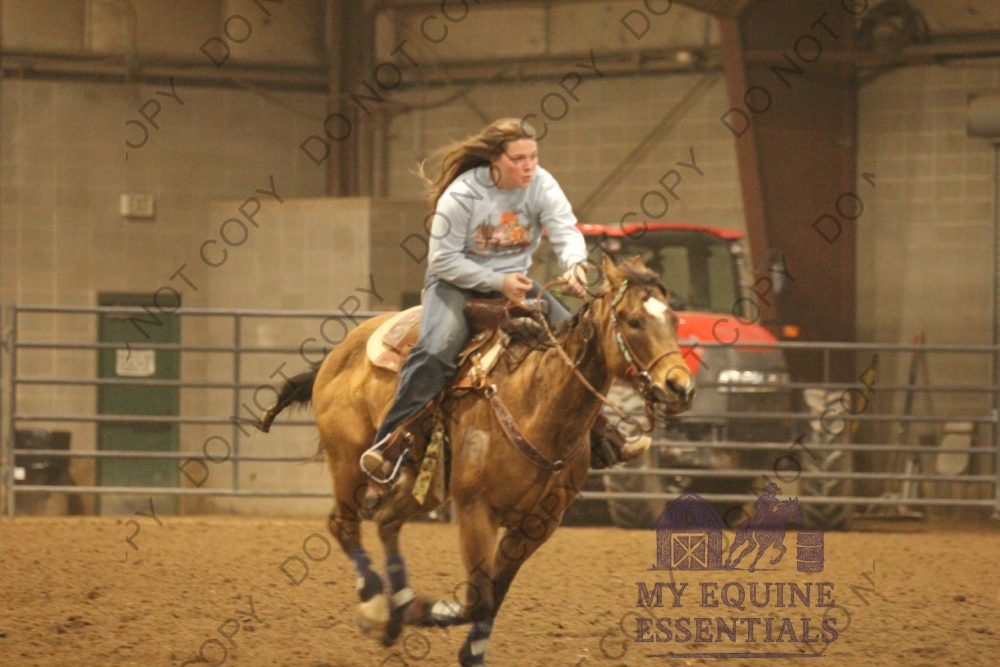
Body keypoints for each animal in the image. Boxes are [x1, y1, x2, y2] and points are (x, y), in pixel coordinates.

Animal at [258, 255, 695, 666]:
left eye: (674, 319)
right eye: (634, 321)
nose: (680, 387)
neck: (535, 403)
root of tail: (338, 353)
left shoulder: (538, 523)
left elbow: (495, 594)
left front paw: (467, 648)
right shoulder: (476, 511)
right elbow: (478, 598)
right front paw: (422, 610)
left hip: (427, 485)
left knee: (386, 520)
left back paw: (395, 613)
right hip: (348, 462)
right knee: (343, 524)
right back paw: (377, 607)